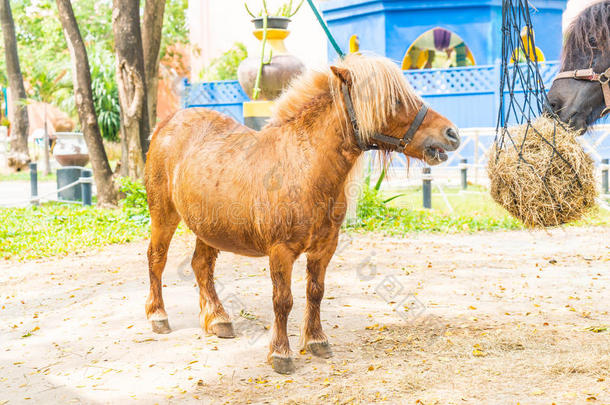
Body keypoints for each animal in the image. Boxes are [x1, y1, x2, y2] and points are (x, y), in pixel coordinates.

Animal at [144, 53, 456, 372]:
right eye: (393, 100)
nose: (451, 134)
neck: (303, 165)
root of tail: (166, 125)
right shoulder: (280, 251)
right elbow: (283, 300)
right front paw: (281, 353)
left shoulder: (325, 247)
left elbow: (315, 292)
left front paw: (316, 340)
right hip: (163, 214)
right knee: (157, 258)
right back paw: (158, 316)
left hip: (209, 228)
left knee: (201, 266)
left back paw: (218, 320)